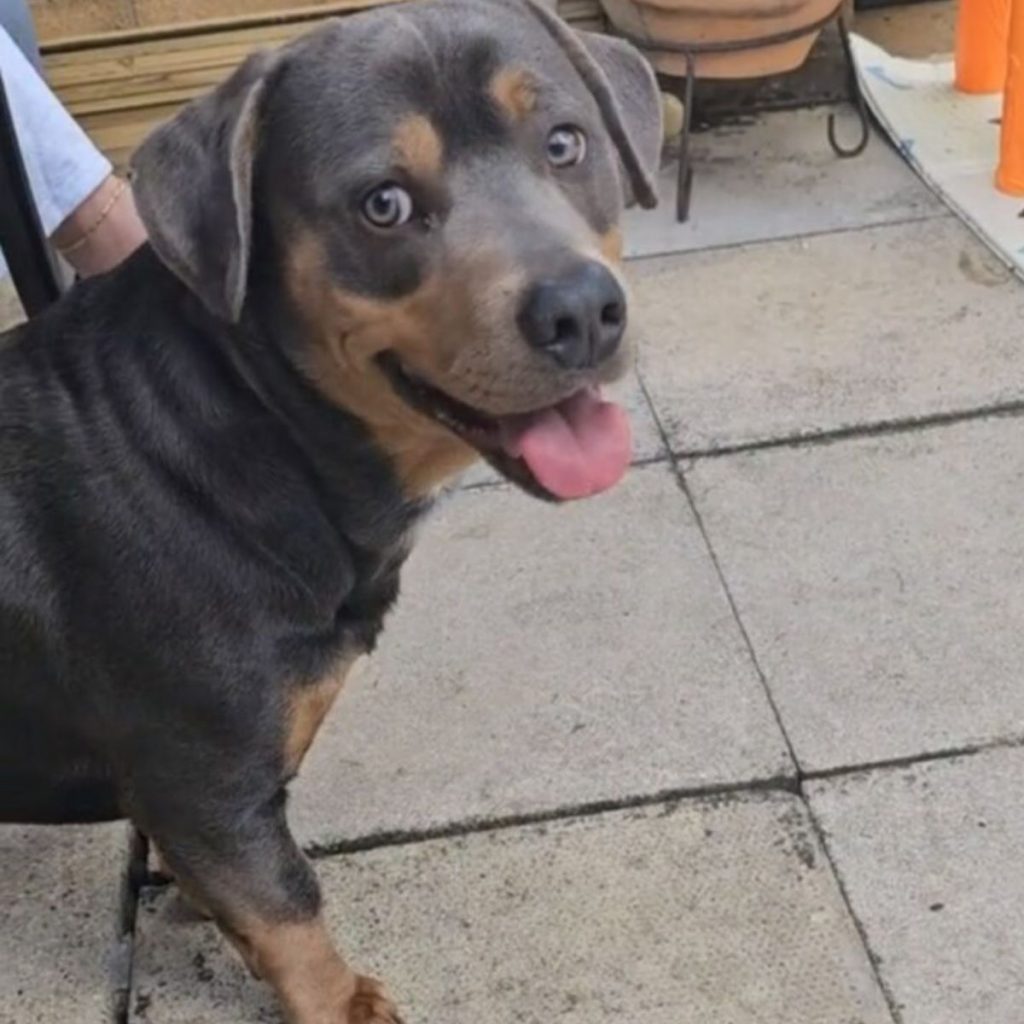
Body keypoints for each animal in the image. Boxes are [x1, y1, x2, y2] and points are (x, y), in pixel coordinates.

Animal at [0, 4, 659, 1019]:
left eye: (564, 142)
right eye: (381, 204)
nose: (583, 310)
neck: (259, 430)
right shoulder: (205, 779)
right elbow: (289, 908)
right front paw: (343, 1002)